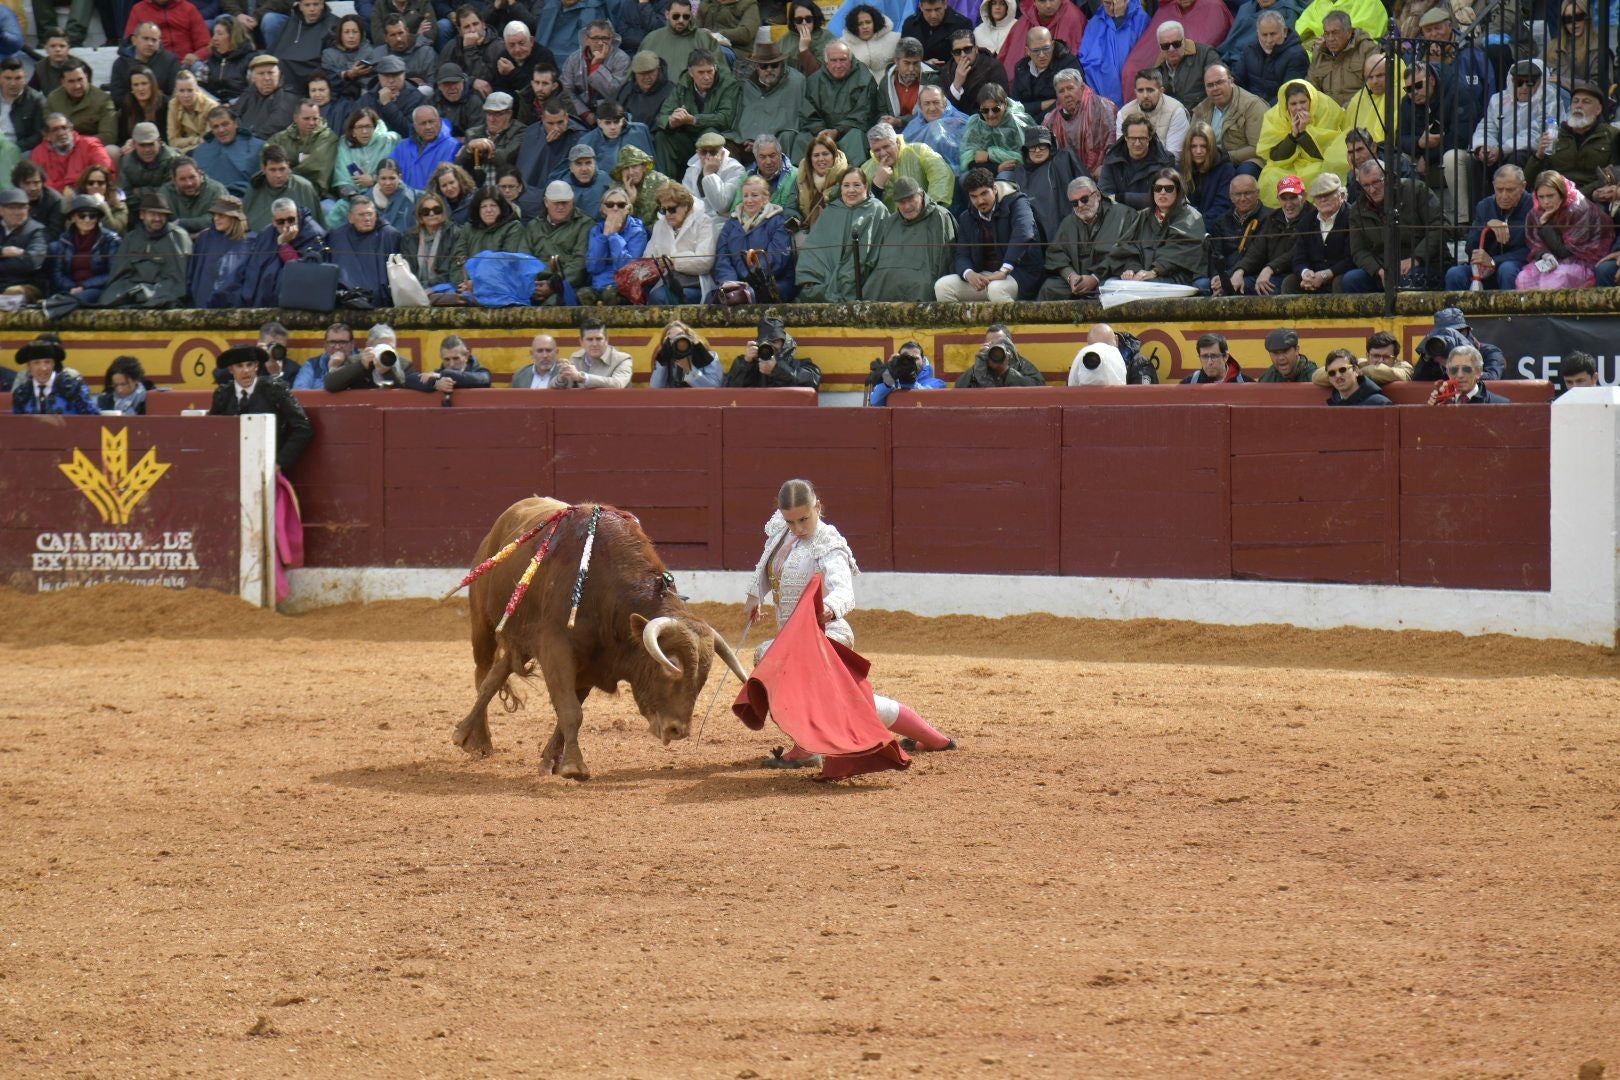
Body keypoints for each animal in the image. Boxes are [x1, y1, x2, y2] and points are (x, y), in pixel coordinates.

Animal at [456, 495, 745, 780]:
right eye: (669, 666)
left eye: (703, 678)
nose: (678, 731)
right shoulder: (556, 648)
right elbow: (571, 711)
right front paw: (574, 767)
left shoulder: (591, 663)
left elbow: (568, 709)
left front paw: (551, 761)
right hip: (483, 623)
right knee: (483, 672)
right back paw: (477, 740)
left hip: (522, 636)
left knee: (497, 673)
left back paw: (465, 733)